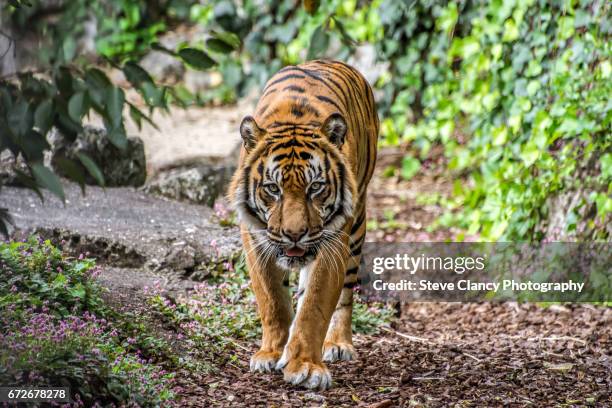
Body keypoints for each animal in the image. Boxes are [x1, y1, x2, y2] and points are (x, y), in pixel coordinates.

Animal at [228, 59, 378, 388]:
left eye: (316, 187)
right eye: (273, 189)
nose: (294, 235)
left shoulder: (334, 240)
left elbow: (315, 305)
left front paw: (306, 366)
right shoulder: (254, 236)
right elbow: (272, 300)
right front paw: (271, 353)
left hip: (356, 228)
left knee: (345, 295)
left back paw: (338, 343)